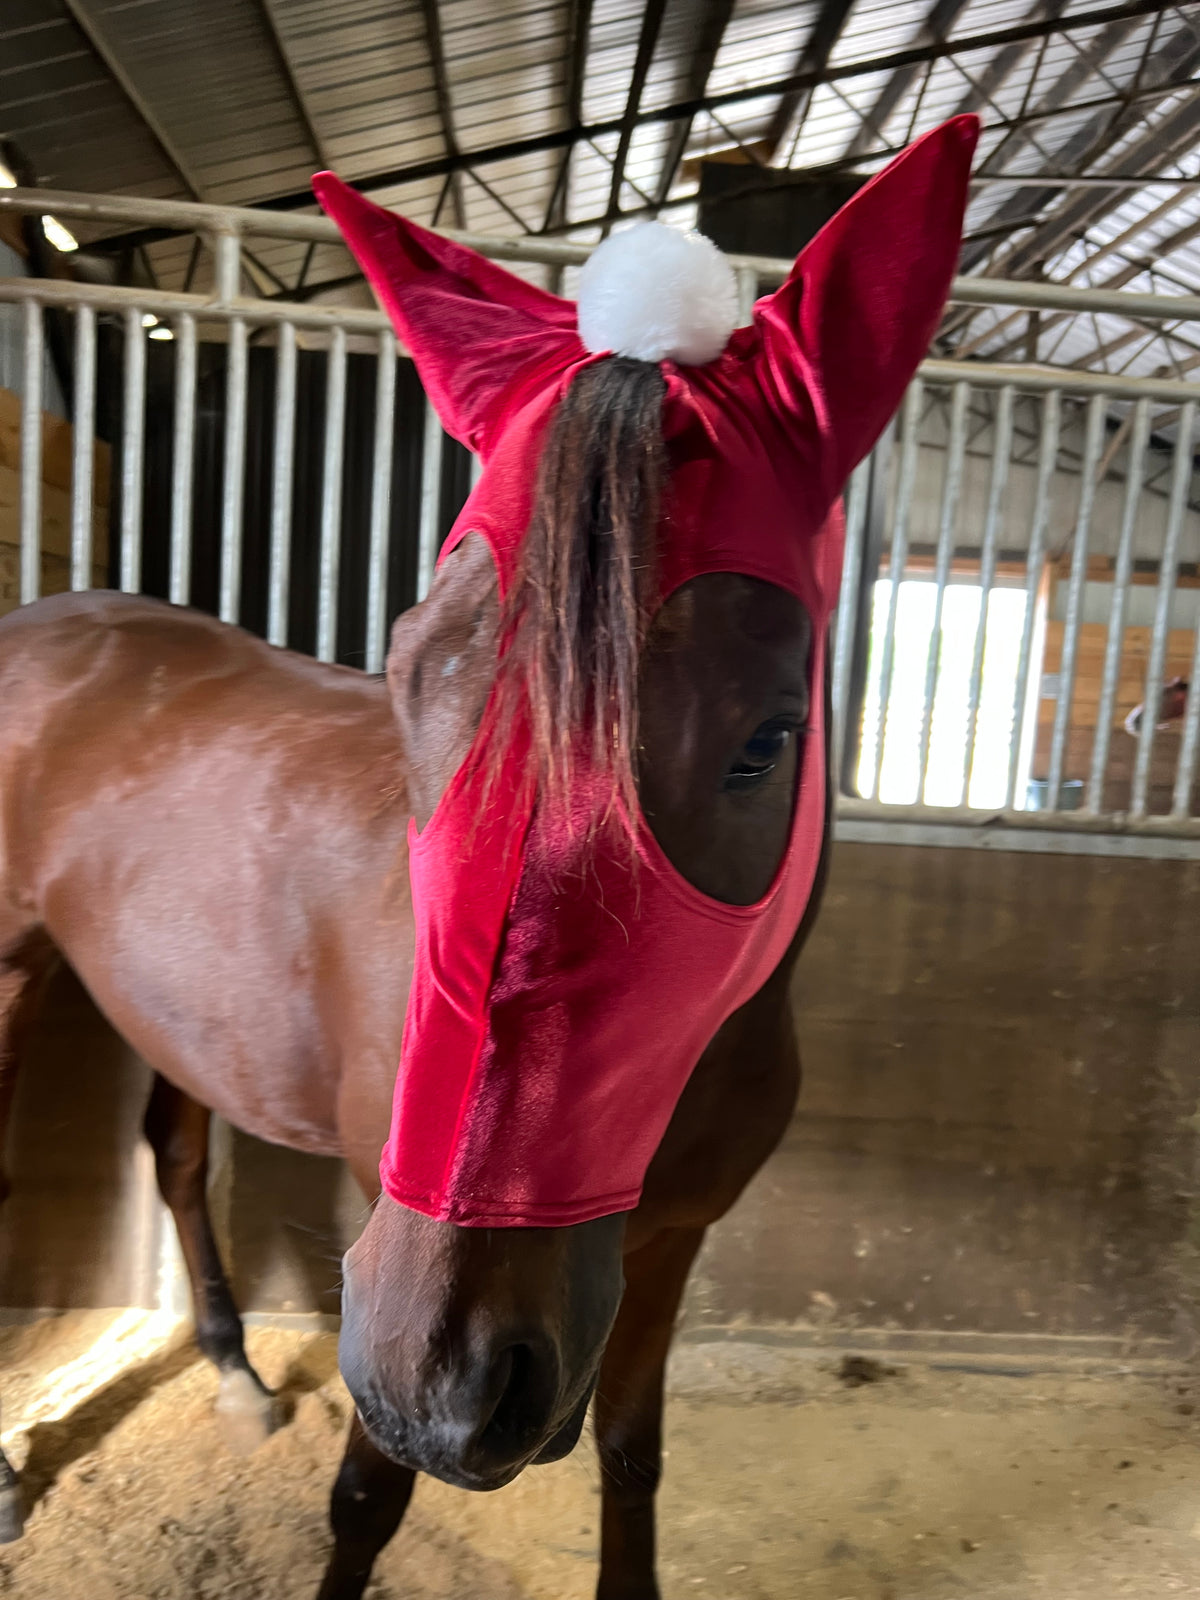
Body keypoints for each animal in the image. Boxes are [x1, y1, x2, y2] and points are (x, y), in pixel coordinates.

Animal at [0, 116, 976, 1599]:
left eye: (767, 739)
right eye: (408, 676)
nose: (447, 1381)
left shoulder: (672, 1241)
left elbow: (632, 1453)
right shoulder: (386, 1242)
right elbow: (366, 1496)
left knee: (173, 1151)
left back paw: (233, 1370)